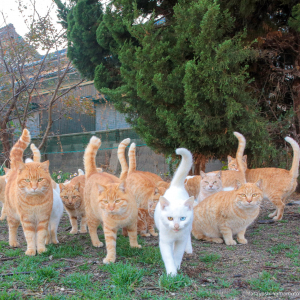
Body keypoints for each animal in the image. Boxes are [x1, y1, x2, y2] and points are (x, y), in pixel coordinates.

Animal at [155, 148, 195, 276]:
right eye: (170, 218)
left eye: (182, 218)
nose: (177, 226)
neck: (175, 235)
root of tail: (176, 186)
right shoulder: (165, 241)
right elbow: (168, 257)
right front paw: (171, 273)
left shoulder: (181, 240)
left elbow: (178, 255)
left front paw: (176, 266)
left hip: (189, 227)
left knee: (188, 238)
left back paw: (189, 249)